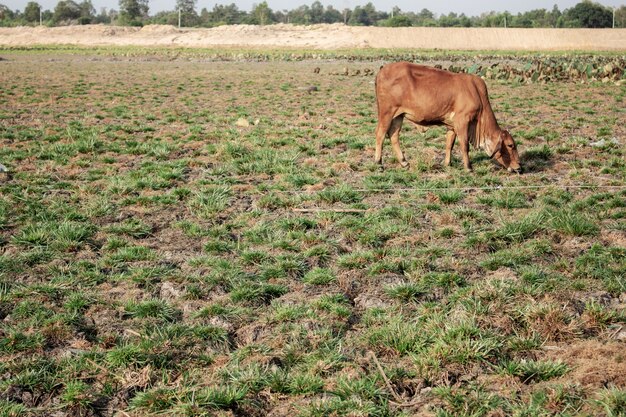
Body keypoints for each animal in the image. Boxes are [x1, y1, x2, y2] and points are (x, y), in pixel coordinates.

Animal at [372, 61, 520, 173]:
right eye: (510, 145)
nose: (519, 167)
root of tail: (381, 71)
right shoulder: (462, 121)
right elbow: (464, 145)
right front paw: (468, 167)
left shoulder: (452, 125)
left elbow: (450, 144)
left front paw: (447, 163)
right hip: (387, 112)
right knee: (380, 134)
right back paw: (378, 163)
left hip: (398, 115)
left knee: (393, 135)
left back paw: (404, 162)